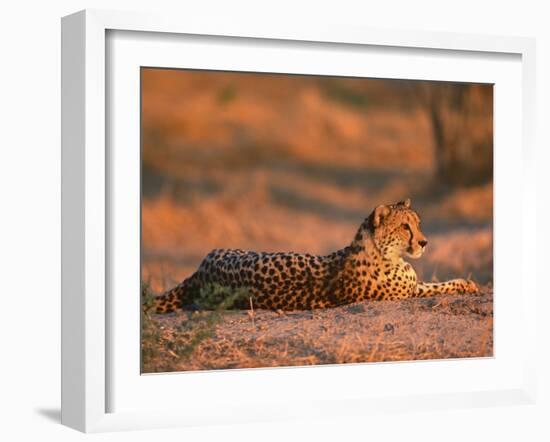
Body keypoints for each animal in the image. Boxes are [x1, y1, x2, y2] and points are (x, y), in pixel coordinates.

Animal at [150, 199, 478, 312]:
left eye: (418, 223)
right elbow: (439, 286)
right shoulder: (408, 291)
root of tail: (202, 268)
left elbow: (438, 283)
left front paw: (468, 283)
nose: (424, 242)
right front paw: (468, 284)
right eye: (405, 227)